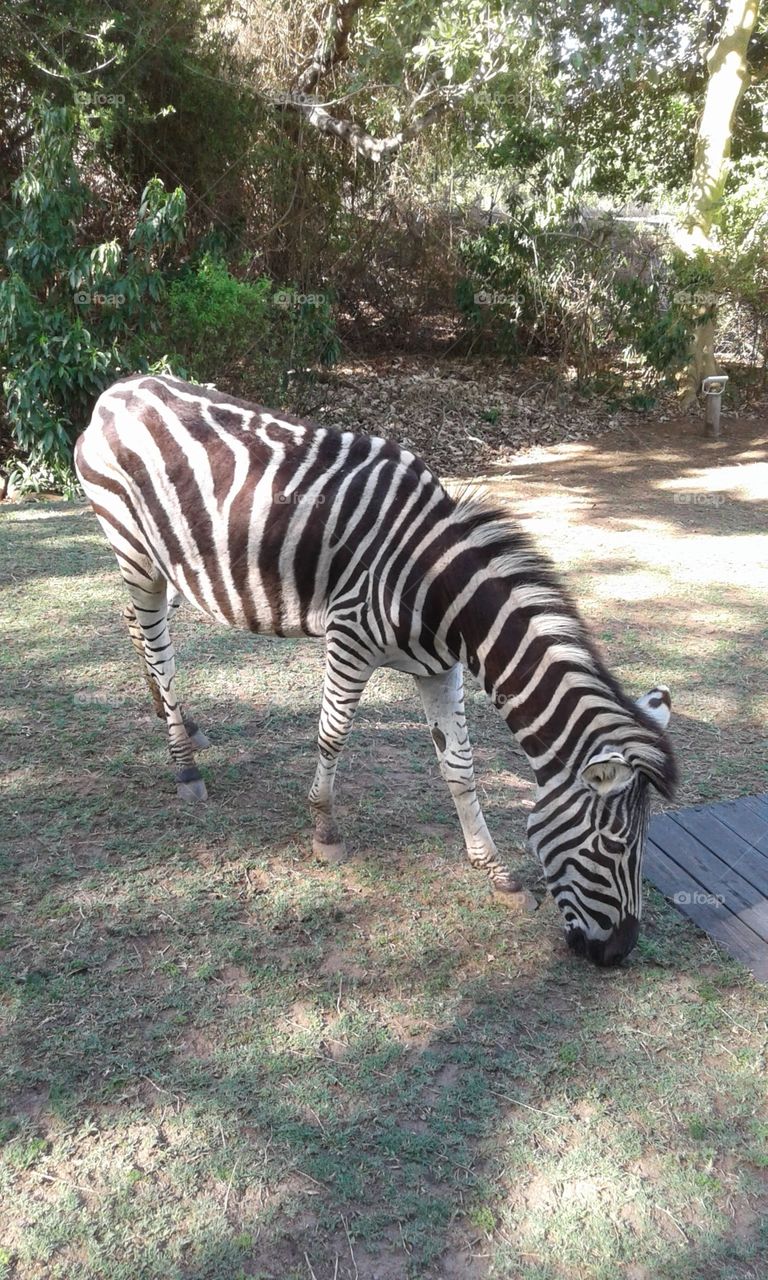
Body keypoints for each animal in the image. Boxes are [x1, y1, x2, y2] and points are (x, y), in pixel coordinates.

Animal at [75, 374, 677, 967]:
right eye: (615, 846)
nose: (618, 954)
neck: (441, 591)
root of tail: (118, 391)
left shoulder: (439, 669)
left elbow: (460, 767)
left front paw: (497, 874)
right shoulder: (350, 640)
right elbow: (332, 737)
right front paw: (324, 831)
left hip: (174, 565)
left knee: (139, 628)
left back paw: (178, 721)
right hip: (135, 552)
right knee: (157, 645)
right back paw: (184, 764)